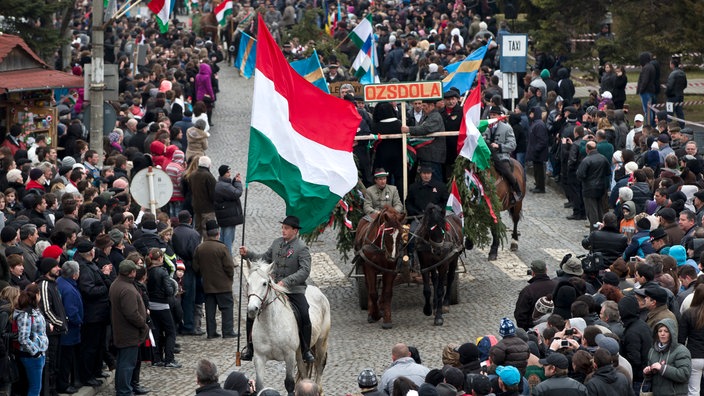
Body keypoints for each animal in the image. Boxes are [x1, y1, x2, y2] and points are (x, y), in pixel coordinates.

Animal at [246, 262, 332, 394]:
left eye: (264, 283)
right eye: (248, 283)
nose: (252, 309)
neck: (271, 325)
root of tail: (316, 290)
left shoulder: (289, 356)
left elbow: (290, 384)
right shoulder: (259, 357)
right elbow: (260, 385)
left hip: (321, 342)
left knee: (319, 367)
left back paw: (318, 389)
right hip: (300, 354)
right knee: (304, 372)